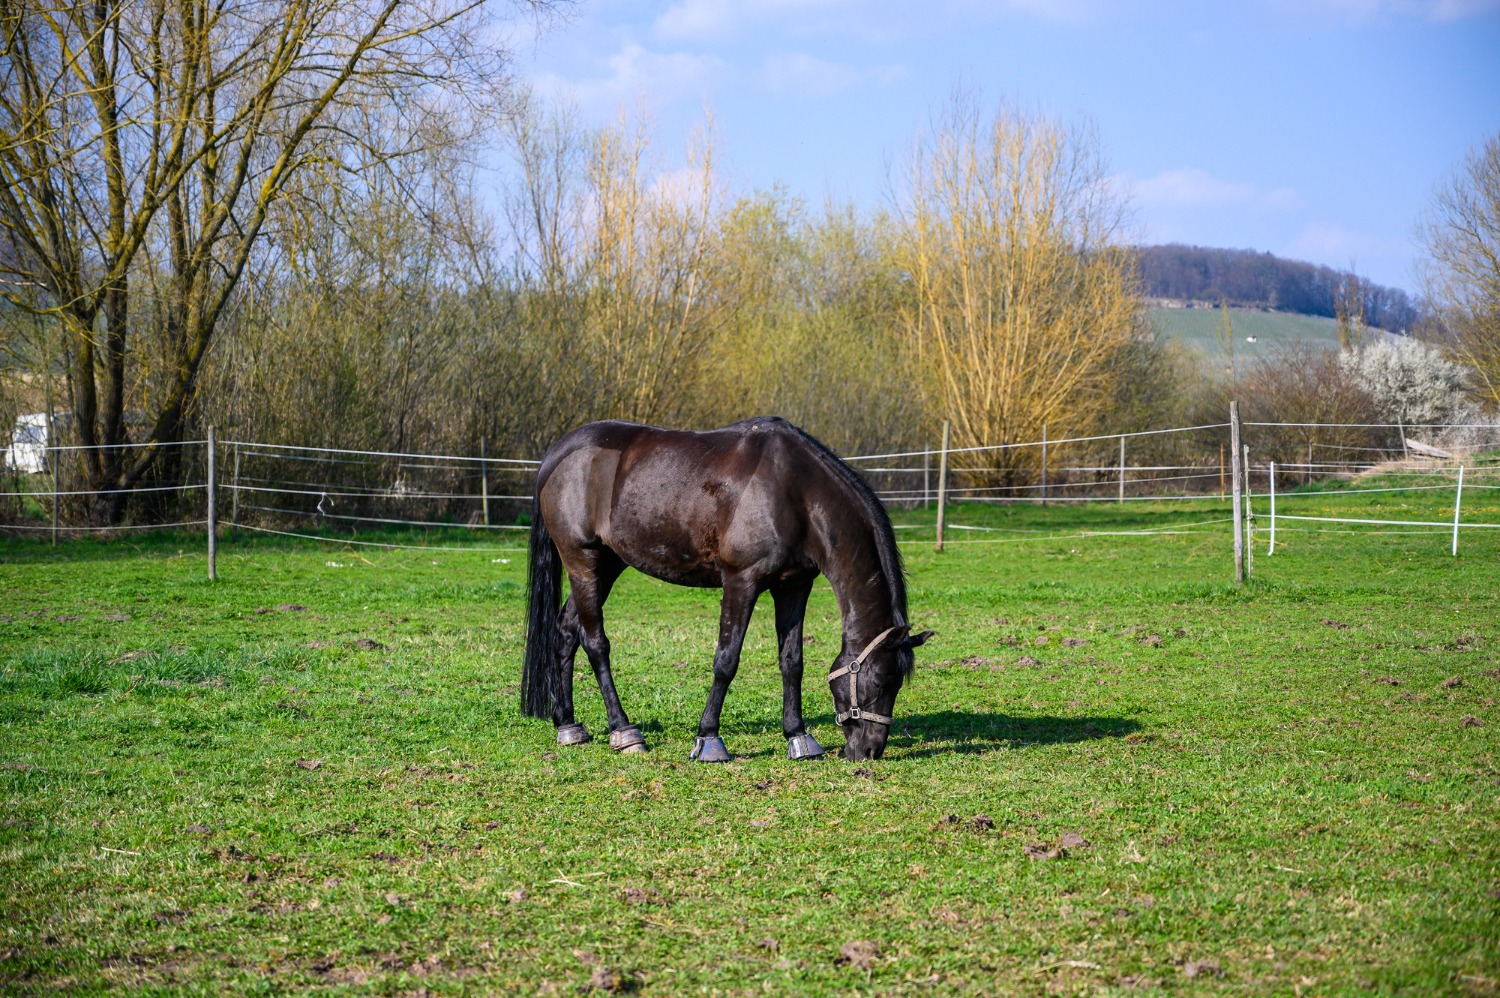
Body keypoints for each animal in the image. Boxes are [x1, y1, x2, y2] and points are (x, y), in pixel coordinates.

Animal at [521, 416, 932, 762]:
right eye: (879, 680)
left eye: (898, 684)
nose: (869, 750)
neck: (794, 493)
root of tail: (557, 454)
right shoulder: (741, 582)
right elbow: (726, 661)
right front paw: (708, 739)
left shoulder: (794, 586)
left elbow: (792, 661)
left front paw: (798, 736)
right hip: (582, 561)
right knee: (595, 643)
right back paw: (623, 731)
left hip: (607, 564)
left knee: (565, 631)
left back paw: (568, 725)